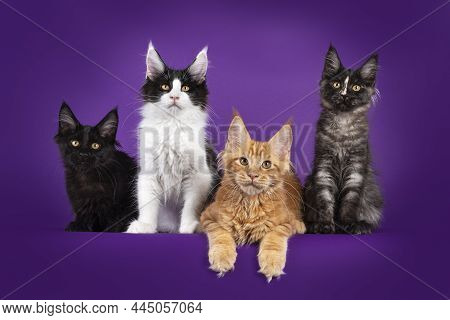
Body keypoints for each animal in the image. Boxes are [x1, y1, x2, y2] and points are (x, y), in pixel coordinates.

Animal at [54, 103, 136, 232]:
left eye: (95, 146)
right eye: (75, 143)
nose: (83, 154)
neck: (86, 178)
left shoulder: (115, 205)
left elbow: (113, 220)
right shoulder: (79, 203)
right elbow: (83, 216)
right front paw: (78, 225)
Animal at [201, 114, 304, 280]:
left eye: (266, 164)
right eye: (244, 161)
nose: (252, 175)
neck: (249, 204)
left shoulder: (285, 222)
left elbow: (273, 239)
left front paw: (271, 263)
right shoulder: (208, 217)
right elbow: (221, 236)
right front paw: (222, 257)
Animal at [302, 45, 384, 234]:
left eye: (356, 87)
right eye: (337, 84)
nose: (344, 95)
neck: (343, 124)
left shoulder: (356, 168)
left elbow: (350, 200)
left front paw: (348, 224)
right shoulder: (323, 166)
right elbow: (325, 199)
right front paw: (325, 225)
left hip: (370, 190)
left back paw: (362, 225)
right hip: (309, 184)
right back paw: (313, 225)